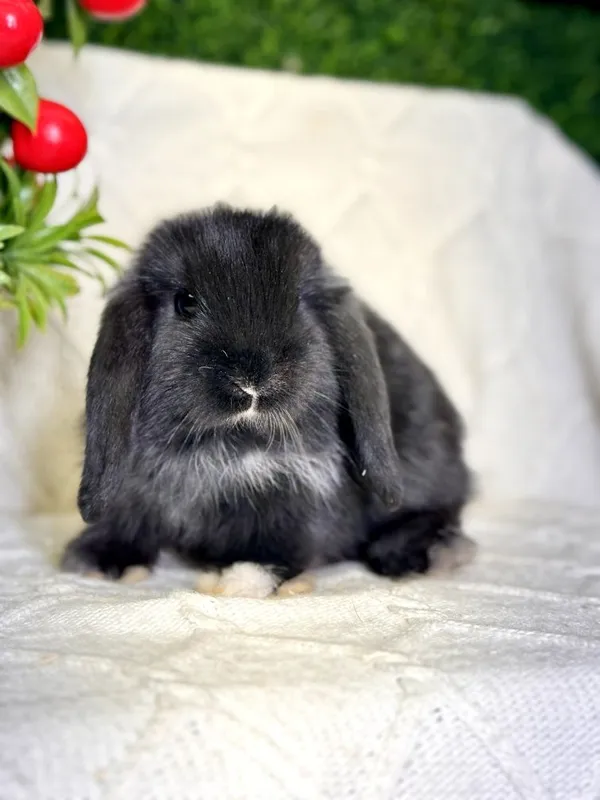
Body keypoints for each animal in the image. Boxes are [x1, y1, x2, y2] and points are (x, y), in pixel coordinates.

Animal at [62, 205, 474, 597]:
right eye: (185, 302)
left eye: (298, 303)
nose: (252, 381)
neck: (222, 444)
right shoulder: (135, 488)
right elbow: (127, 522)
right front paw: (98, 560)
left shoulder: (296, 493)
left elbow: (282, 546)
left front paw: (241, 580)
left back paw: (418, 553)